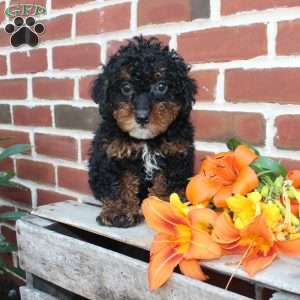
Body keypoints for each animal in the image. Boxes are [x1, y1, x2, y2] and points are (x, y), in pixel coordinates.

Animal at [88, 35, 197, 227]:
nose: (142, 116)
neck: (146, 140)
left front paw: (165, 210)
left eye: (161, 86)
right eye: (126, 87)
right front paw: (120, 212)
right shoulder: (115, 154)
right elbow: (121, 185)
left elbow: (166, 184)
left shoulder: (174, 153)